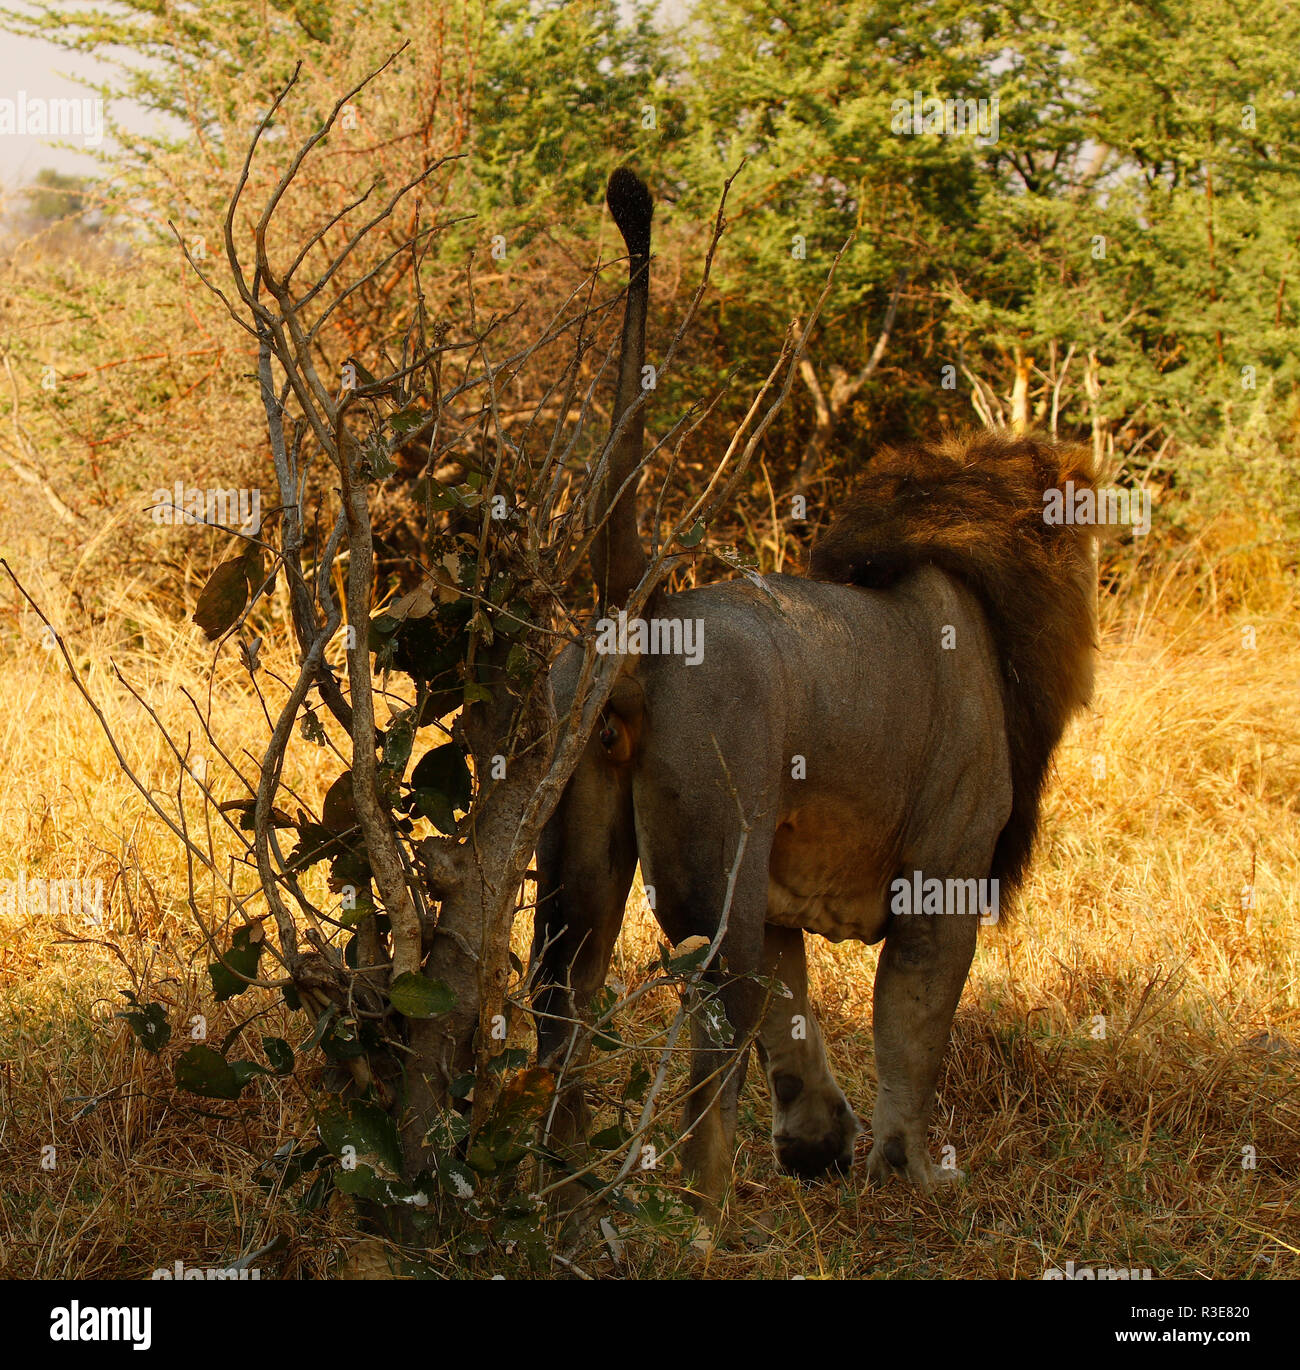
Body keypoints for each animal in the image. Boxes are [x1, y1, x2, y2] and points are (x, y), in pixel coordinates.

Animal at [531, 167, 1098, 1217]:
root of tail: (651, 607)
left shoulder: (781, 898)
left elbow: (801, 1023)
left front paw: (817, 1144)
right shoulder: (944, 876)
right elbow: (911, 1032)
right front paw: (912, 1174)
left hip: (578, 858)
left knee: (561, 1014)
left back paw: (553, 1178)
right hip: (715, 884)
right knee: (707, 1064)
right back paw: (705, 1217)